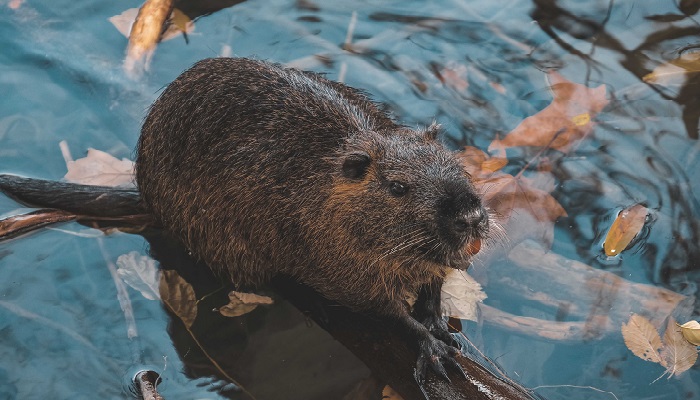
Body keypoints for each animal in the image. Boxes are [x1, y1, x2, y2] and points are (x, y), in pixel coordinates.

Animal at [0, 57, 490, 386]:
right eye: (398, 187)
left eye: (452, 161)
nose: (469, 216)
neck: (324, 183)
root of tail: (144, 195)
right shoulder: (332, 257)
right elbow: (379, 306)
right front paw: (430, 343)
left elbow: (433, 281)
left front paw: (437, 319)